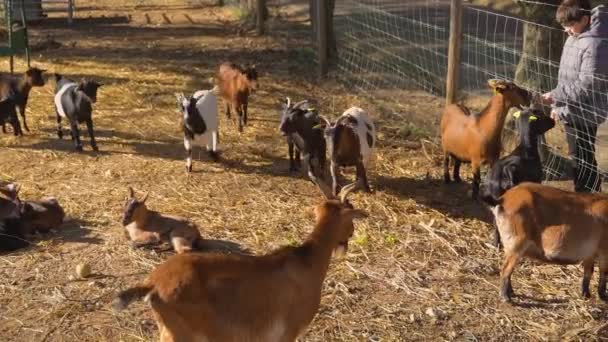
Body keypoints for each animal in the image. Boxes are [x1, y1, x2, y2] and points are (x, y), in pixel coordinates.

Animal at [112, 180, 368, 340]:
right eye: (351, 216)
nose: (350, 237)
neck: (307, 261)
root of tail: (152, 283)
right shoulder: (288, 332)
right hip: (181, 335)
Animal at [480, 107, 556, 246]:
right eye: (541, 116)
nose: (553, 121)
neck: (526, 148)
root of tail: (502, 173)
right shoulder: (537, 181)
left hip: (496, 200)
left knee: (497, 222)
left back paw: (496, 243)